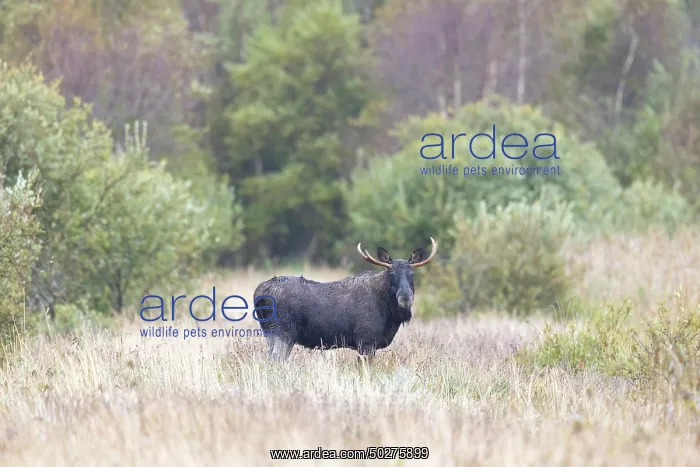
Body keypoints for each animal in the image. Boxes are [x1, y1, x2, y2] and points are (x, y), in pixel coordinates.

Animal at [253, 237, 438, 361]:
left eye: (412, 274)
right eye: (390, 273)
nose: (405, 298)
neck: (390, 315)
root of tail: (258, 293)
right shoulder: (366, 341)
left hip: (270, 333)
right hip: (283, 332)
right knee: (275, 359)